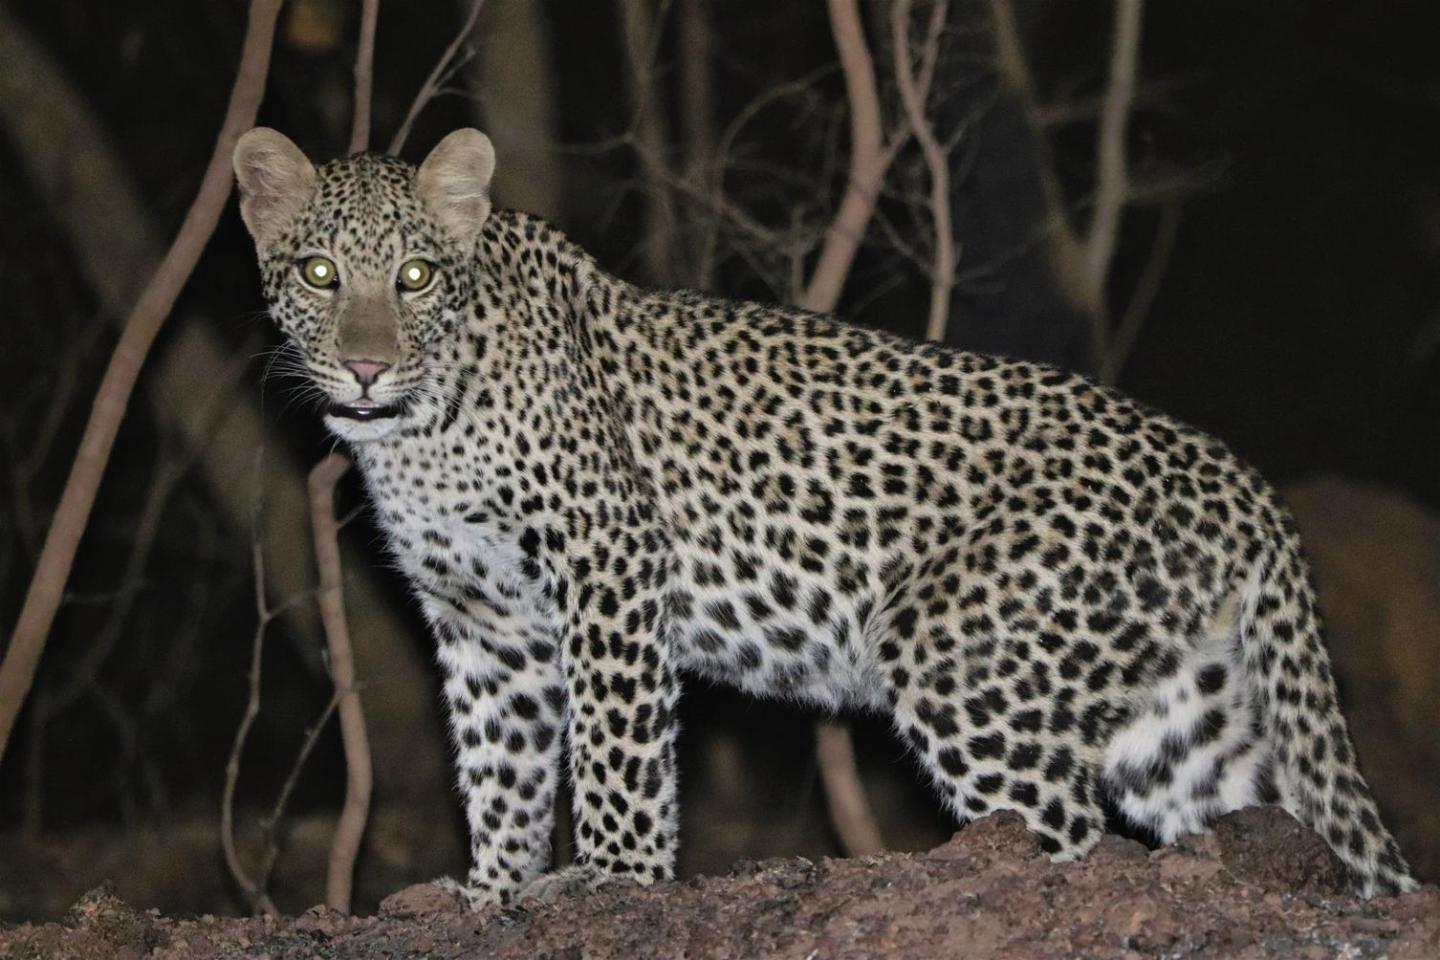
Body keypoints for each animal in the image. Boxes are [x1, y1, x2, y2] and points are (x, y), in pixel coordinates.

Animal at [233, 126, 1418, 906]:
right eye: (321, 273)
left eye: (416, 276)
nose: (367, 367)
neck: (416, 431)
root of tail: (1241, 477)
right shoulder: (486, 620)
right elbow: (499, 764)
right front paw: (491, 891)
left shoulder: (608, 564)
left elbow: (617, 747)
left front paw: (614, 879)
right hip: (1173, 717)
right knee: (1265, 817)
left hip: (964, 663)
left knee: (1077, 834)